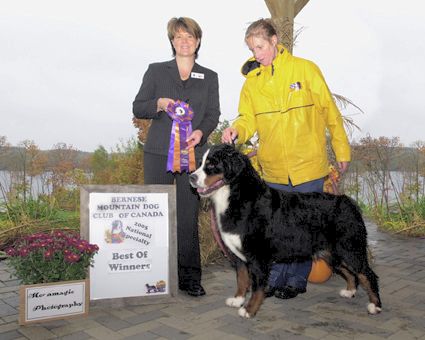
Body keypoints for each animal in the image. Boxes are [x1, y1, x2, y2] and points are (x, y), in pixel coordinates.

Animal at [189, 144, 380, 318]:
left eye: (212, 164)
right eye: (200, 163)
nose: (191, 177)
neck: (238, 196)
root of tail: (348, 201)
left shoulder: (258, 256)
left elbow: (257, 287)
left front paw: (249, 310)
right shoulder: (240, 257)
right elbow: (242, 279)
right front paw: (237, 300)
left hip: (349, 249)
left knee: (367, 274)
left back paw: (375, 305)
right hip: (332, 254)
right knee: (351, 273)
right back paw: (350, 291)